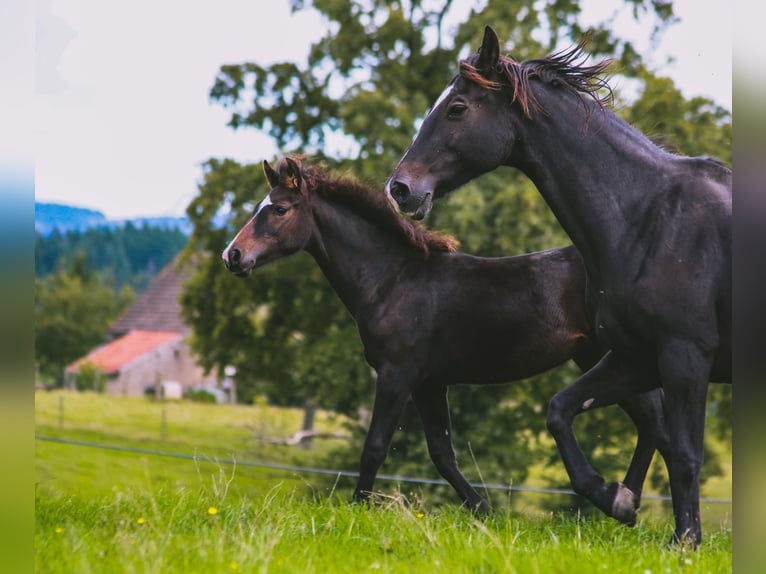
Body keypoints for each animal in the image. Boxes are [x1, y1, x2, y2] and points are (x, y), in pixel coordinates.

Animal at [224, 156, 672, 516]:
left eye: (280, 209)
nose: (233, 256)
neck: (392, 280)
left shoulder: (397, 375)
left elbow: (375, 447)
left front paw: (357, 509)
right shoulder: (429, 383)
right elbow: (442, 454)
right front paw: (485, 512)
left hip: (613, 357)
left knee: (654, 420)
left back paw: (621, 501)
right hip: (599, 358)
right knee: (653, 422)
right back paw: (627, 502)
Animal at [390, 28, 732, 548]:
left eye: (457, 109)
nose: (400, 189)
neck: (649, 217)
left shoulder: (685, 356)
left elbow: (687, 455)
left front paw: (684, 543)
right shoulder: (636, 357)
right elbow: (560, 411)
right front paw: (615, 499)